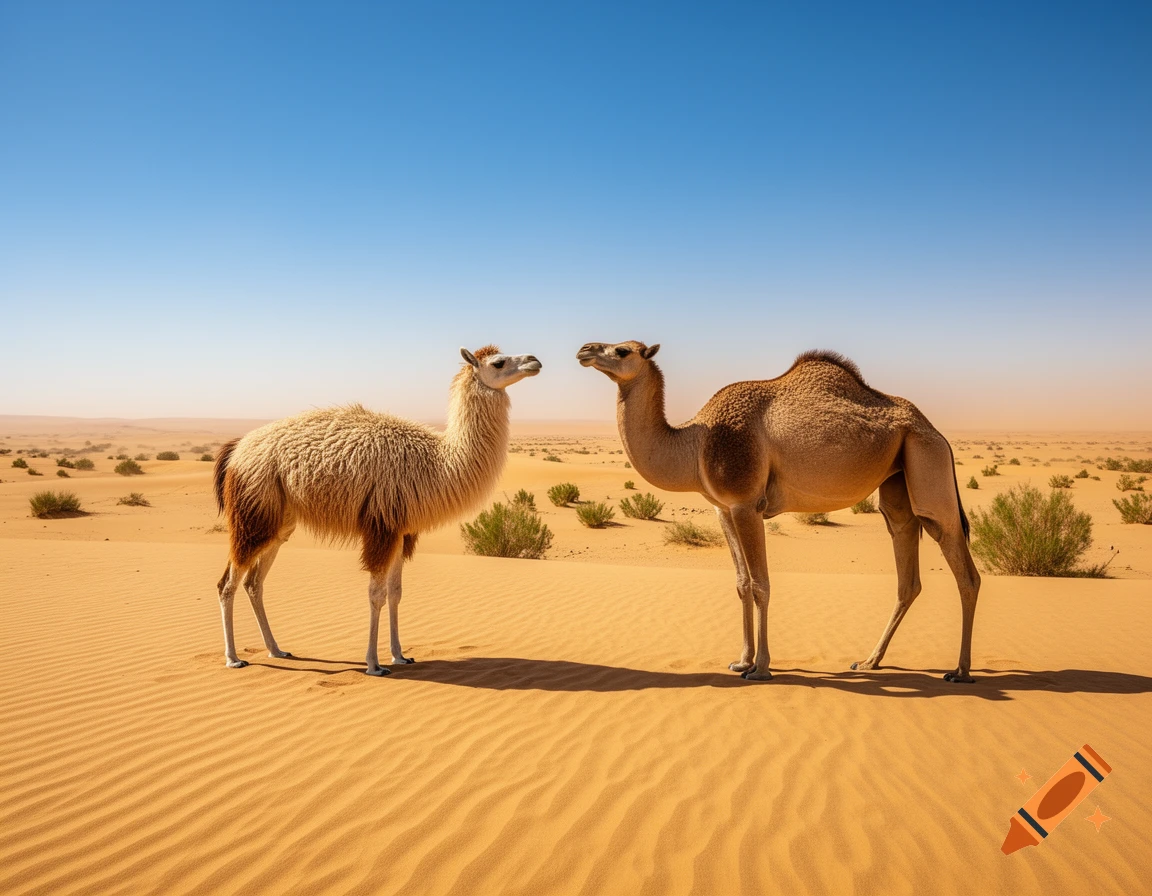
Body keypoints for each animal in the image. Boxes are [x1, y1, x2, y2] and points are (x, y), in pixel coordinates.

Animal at [213, 345, 541, 675]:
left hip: (278, 521)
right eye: (498, 362)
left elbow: (396, 594)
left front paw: (400, 655)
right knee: (227, 583)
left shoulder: (402, 531)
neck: (438, 461)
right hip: (253, 510)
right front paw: (374, 664)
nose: (534, 361)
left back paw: (276, 649)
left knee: (254, 583)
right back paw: (233, 658)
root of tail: (236, 449)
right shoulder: (381, 527)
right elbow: (376, 595)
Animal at [577, 341, 980, 683]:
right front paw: (741, 660)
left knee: (961, 564)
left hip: (926, 458)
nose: (584, 349)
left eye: (622, 350)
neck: (695, 443)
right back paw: (869, 661)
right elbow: (741, 583)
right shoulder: (723, 509)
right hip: (898, 477)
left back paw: (960, 671)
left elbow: (760, 584)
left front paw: (760, 668)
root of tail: (934, 429)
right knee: (905, 562)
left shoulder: (746, 504)